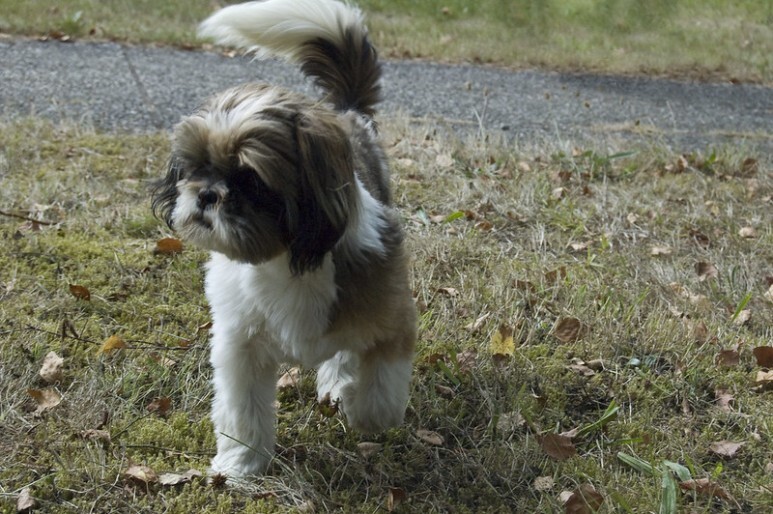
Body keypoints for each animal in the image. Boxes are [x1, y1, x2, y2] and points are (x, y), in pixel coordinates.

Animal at [151, 0, 416, 476]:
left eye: (251, 180)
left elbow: (381, 393)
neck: (284, 263)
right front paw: (240, 465)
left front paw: (360, 406)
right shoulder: (239, 343)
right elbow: (244, 408)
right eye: (196, 166)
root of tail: (348, 113)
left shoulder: (393, 321)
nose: (206, 194)